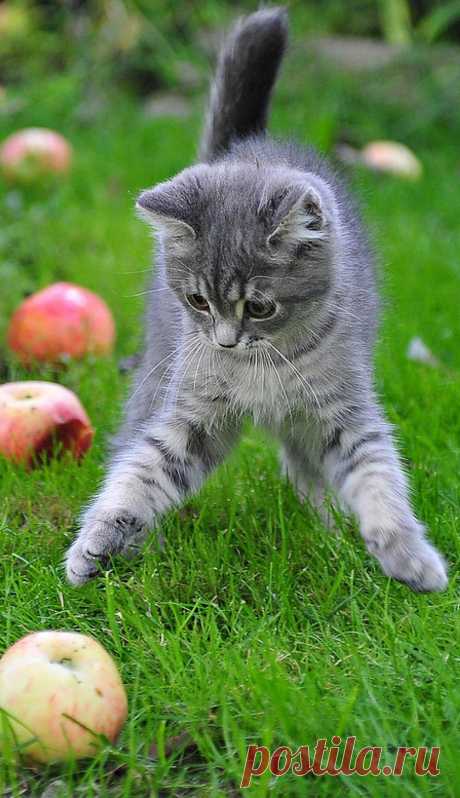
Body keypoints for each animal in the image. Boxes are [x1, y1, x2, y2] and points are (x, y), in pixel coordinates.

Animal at [66, 6, 448, 592]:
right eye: (198, 301)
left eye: (259, 307)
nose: (224, 342)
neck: (258, 365)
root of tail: (237, 152)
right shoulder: (193, 411)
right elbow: (144, 469)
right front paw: (99, 539)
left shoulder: (343, 409)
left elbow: (376, 475)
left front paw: (406, 555)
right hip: (158, 367)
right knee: (131, 437)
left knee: (304, 463)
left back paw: (326, 528)